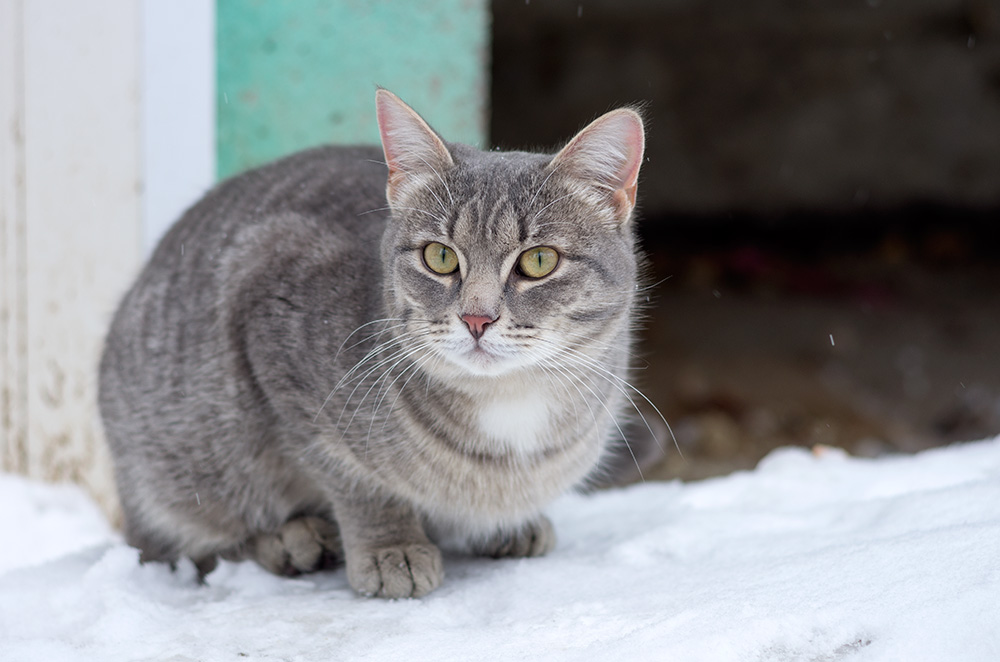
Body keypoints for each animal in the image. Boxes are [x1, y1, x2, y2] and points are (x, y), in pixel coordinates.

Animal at [97, 89, 652, 600]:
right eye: (439, 257)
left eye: (539, 261)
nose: (476, 318)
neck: (509, 407)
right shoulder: (274, 333)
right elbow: (354, 478)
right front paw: (391, 546)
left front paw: (508, 524)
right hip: (177, 466)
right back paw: (290, 539)